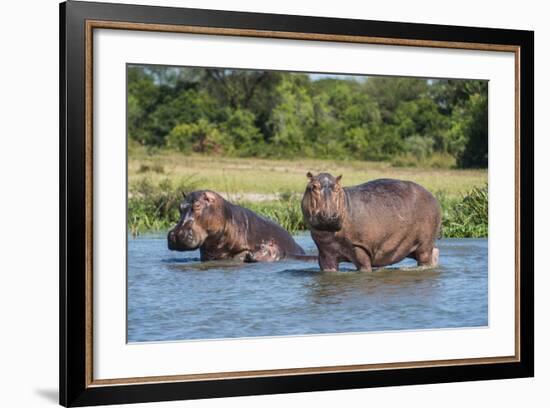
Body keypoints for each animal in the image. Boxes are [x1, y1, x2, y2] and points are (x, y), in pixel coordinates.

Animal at [304, 172, 442, 270]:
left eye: (338, 188)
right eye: (313, 187)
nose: (330, 216)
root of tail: (431, 194)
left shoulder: (360, 248)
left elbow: (364, 265)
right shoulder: (325, 254)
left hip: (424, 244)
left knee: (425, 257)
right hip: (411, 248)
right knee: (434, 252)